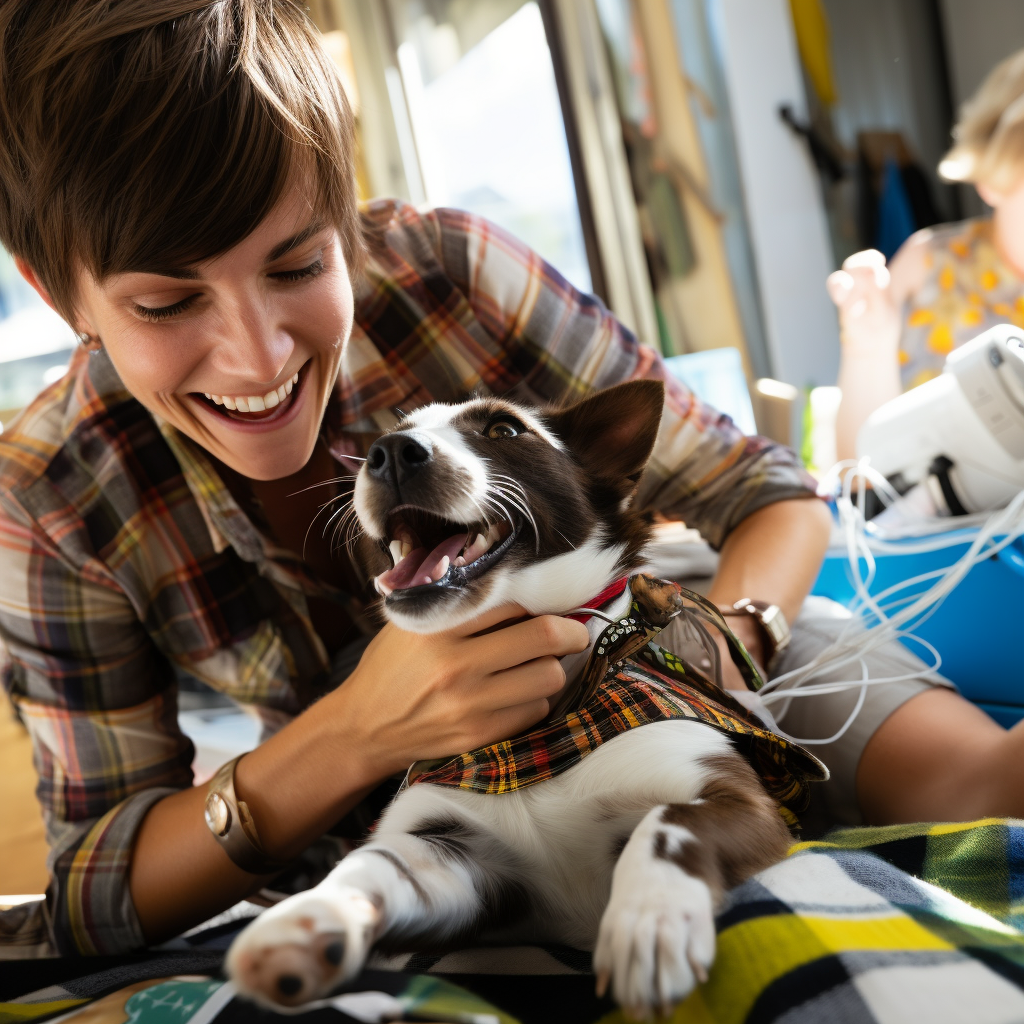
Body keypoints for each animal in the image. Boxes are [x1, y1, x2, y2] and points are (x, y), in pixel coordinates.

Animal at [230, 382, 798, 1015]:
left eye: (504, 430)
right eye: (388, 438)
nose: (391, 453)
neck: (530, 735)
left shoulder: (745, 804)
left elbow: (669, 819)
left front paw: (651, 917)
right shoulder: (471, 869)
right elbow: (372, 860)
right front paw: (308, 916)